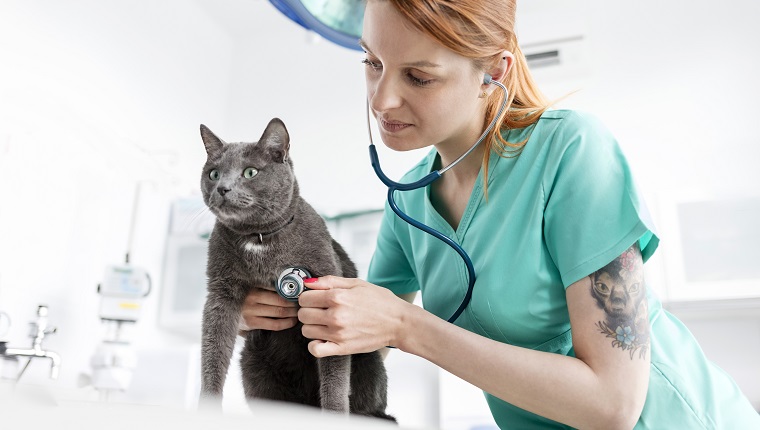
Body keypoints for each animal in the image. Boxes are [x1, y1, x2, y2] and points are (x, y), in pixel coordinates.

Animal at [197, 116, 398, 422]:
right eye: (214, 174)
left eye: (250, 172)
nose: (223, 188)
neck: (259, 239)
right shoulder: (221, 291)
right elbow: (213, 351)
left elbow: (334, 375)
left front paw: (334, 416)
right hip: (252, 362)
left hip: (368, 361)